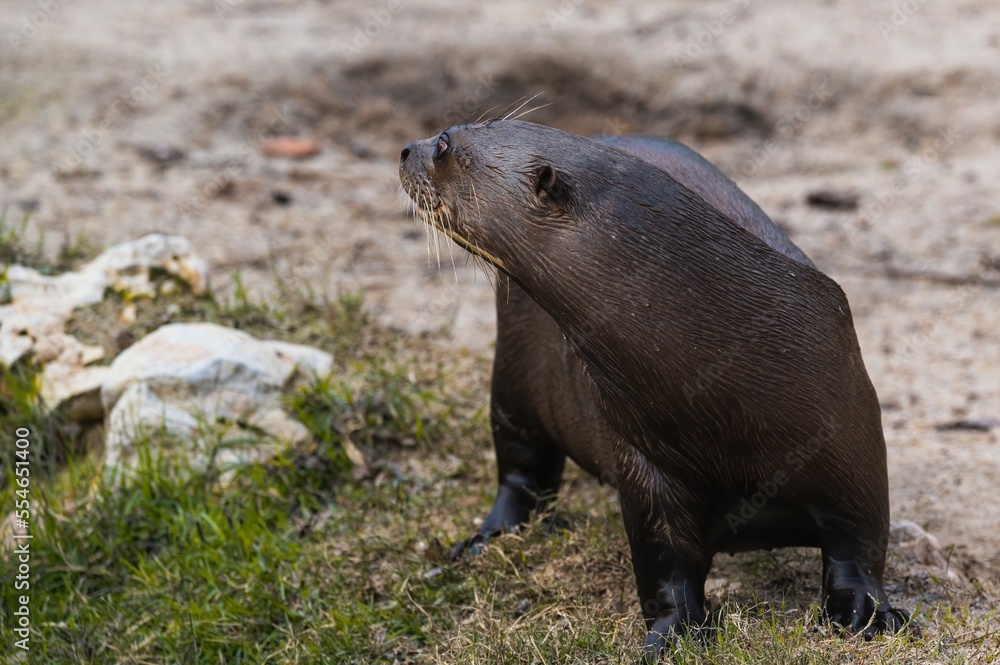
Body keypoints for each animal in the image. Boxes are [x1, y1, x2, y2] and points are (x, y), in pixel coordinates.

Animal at [399, 120, 911, 659]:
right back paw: (488, 538)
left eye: (444, 145)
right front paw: (674, 634)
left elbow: (860, 540)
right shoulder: (644, 462)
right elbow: (664, 566)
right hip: (514, 376)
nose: (406, 150)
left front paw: (866, 612)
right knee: (520, 466)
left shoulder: (848, 429)